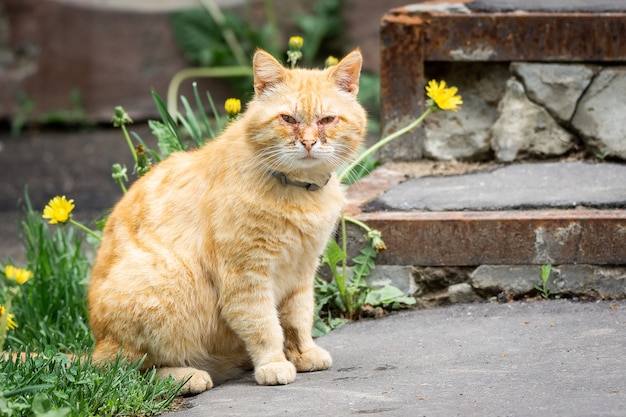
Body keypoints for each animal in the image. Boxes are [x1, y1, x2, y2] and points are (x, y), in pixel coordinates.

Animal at [90, 48, 368, 394]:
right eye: (288, 119)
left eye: (327, 120)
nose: (308, 142)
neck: (298, 192)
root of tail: (96, 345)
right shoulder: (247, 275)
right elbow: (264, 326)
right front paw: (274, 364)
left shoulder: (302, 272)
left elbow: (298, 320)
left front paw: (303, 354)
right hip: (165, 282)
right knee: (133, 371)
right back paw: (187, 377)